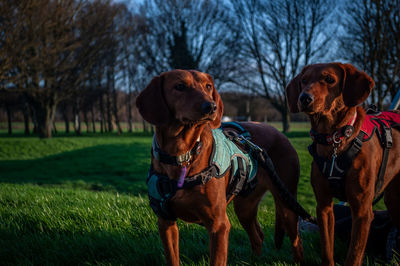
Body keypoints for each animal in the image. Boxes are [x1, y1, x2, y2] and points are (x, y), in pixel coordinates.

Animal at [138, 69, 304, 264]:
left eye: (208, 86)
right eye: (179, 86)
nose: (211, 107)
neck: (182, 154)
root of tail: (279, 132)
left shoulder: (219, 225)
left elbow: (217, 259)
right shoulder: (166, 222)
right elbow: (172, 258)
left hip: (286, 204)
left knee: (296, 241)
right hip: (245, 206)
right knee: (258, 235)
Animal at [286, 62, 400, 266]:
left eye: (329, 79)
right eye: (304, 80)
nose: (304, 98)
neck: (334, 139)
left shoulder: (362, 211)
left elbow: (354, 254)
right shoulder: (324, 207)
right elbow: (326, 248)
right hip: (393, 200)